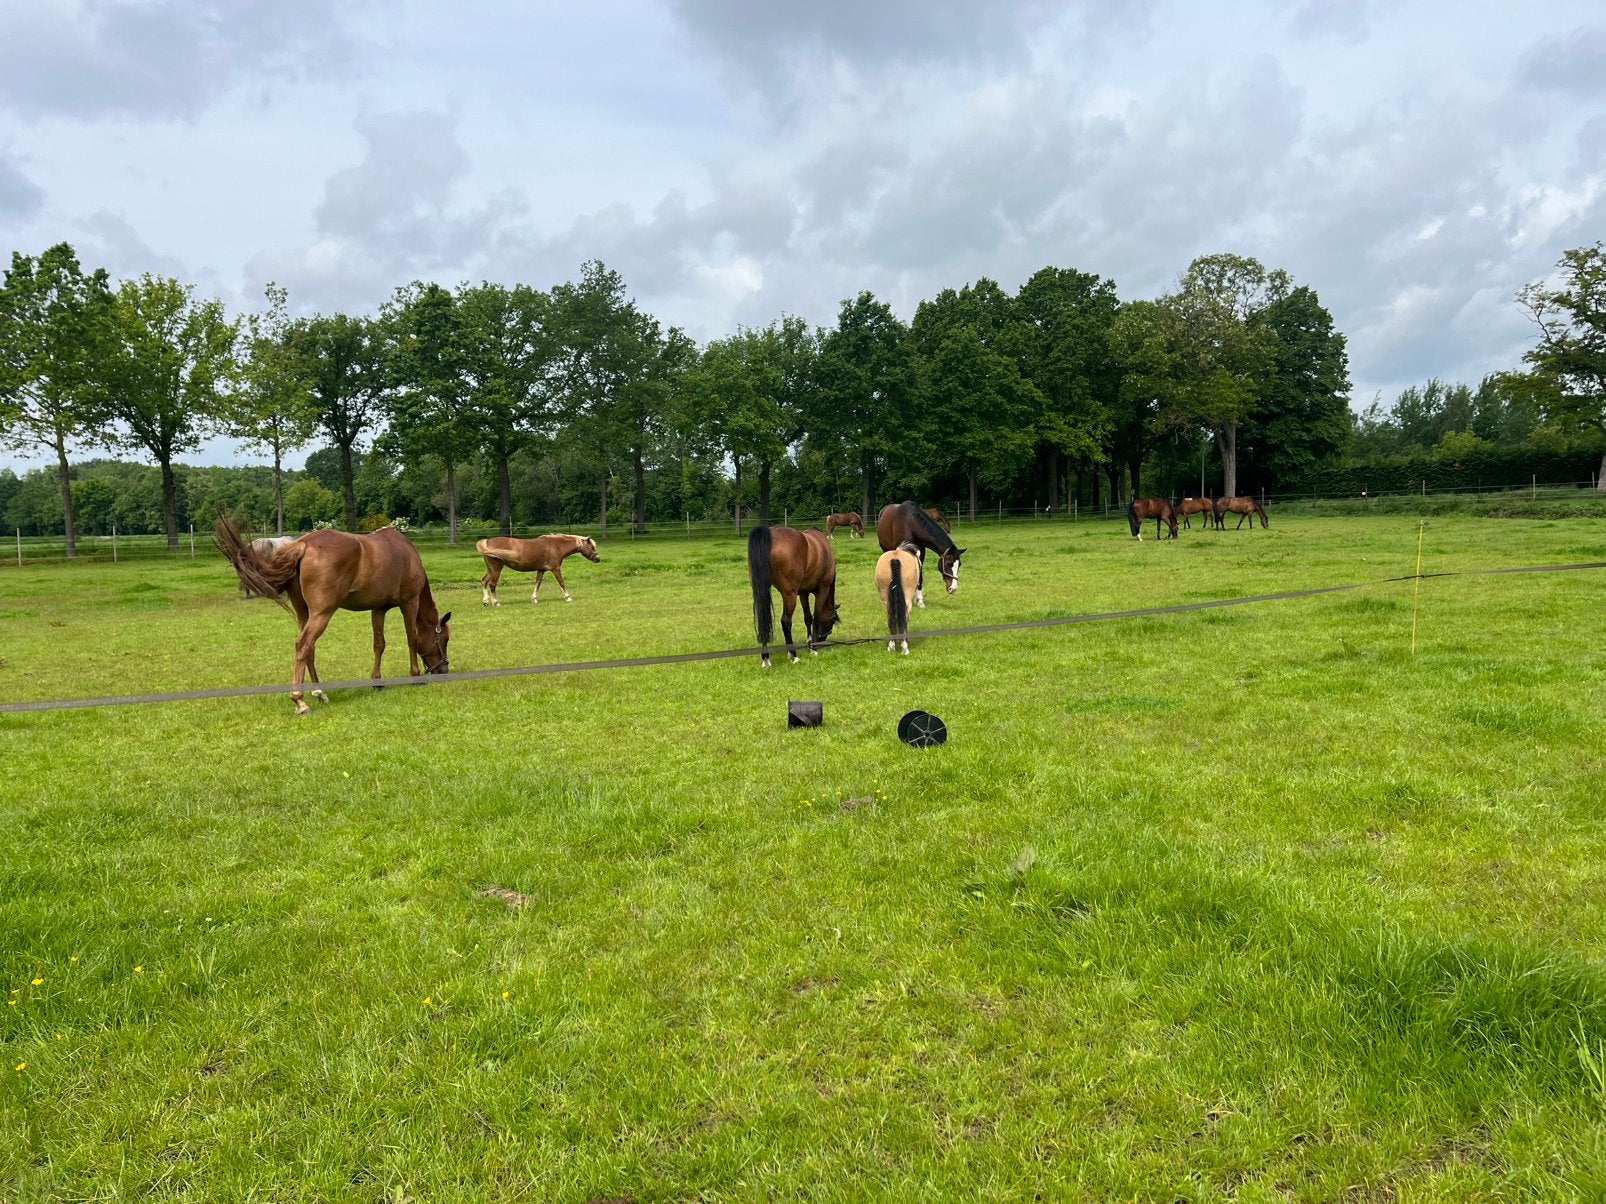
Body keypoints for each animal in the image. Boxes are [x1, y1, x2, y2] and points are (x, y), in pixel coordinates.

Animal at [214, 515, 451, 716]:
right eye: (445, 638)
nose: (444, 669)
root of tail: (303, 545)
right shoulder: (409, 603)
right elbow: (412, 639)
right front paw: (415, 676)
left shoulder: (378, 609)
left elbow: (379, 644)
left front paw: (377, 681)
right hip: (322, 613)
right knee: (303, 645)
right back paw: (300, 701)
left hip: (305, 613)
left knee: (309, 649)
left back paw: (319, 693)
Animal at [747, 525, 839, 668]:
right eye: (832, 621)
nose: (822, 640)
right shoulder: (822, 589)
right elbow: (816, 617)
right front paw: (813, 648)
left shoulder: (803, 593)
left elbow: (808, 618)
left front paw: (809, 642)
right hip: (789, 594)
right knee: (786, 621)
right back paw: (793, 655)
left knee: (763, 620)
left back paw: (766, 658)